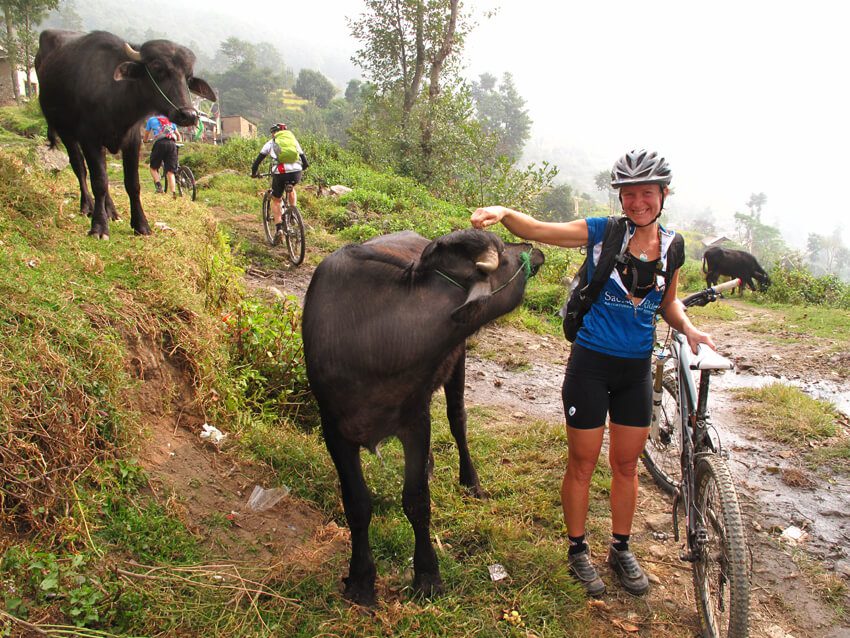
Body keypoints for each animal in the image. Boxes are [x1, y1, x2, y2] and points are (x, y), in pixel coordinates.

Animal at [35, 30, 215, 240]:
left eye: (188, 77)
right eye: (157, 68)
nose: (189, 115)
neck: (117, 99)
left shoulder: (132, 140)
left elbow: (132, 184)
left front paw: (141, 225)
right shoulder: (89, 138)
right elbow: (99, 181)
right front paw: (99, 227)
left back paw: (111, 211)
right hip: (65, 131)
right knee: (80, 168)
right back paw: (87, 206)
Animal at [304, 229, 544, 604]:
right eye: (504, 254)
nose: (533, 248)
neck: (377, 340)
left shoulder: (415, 422)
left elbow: (416, 500)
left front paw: (428, 575)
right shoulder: (334, 430)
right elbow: (357, 503)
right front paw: (360, 580)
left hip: (458, 363)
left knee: (457, 419)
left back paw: (471, 482)